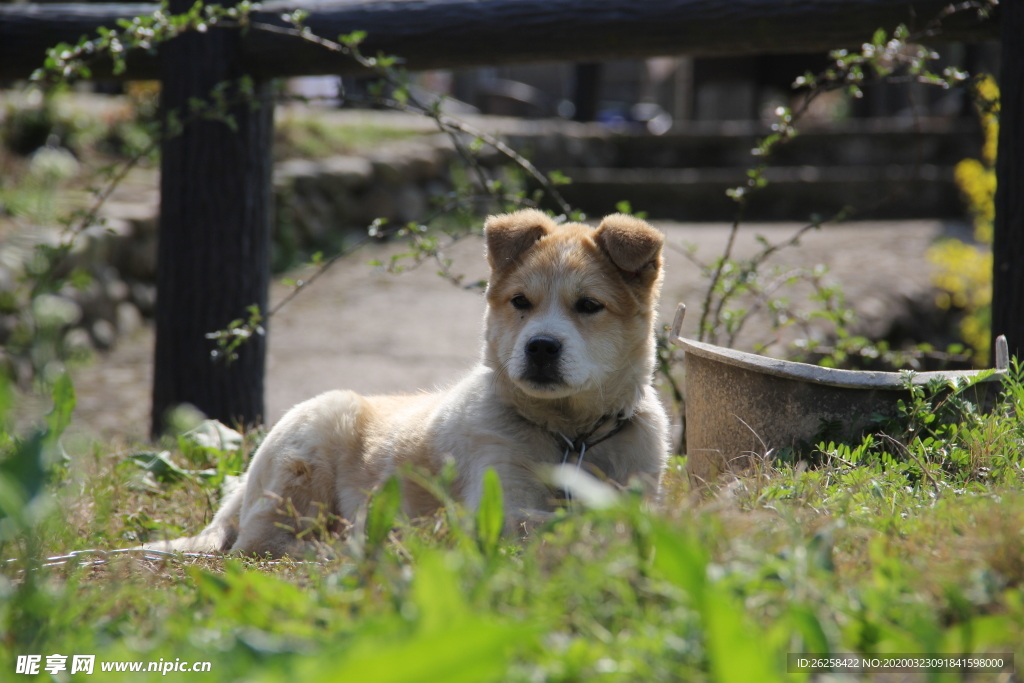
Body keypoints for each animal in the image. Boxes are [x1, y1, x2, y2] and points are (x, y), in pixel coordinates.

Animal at [148, 208, 667, 557]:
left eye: (589, 306)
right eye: (521, 301)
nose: (540, 347)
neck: (569, 433)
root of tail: (242, 487)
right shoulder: (500, 506)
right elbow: (557, 523)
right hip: (309, 451)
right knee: (265, 545)